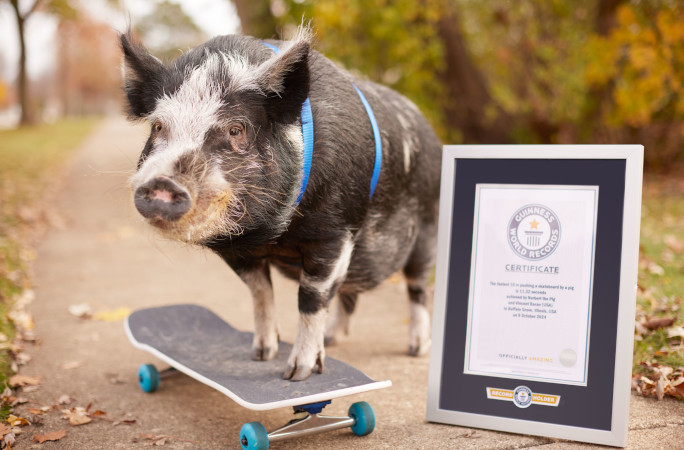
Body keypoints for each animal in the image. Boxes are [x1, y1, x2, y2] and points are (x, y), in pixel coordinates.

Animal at [120, 26, 441, 381]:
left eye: (236, 129)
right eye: (158, 126)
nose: (162, 184)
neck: (277, 235)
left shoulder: (336, 233)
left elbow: (311, 299)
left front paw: (297, 373)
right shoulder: (239, 249)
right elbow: (260, 292)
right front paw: (262, 354)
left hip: (428, 229)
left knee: (417, 288)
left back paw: (416, 349)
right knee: (350, 293)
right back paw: (335, 338)